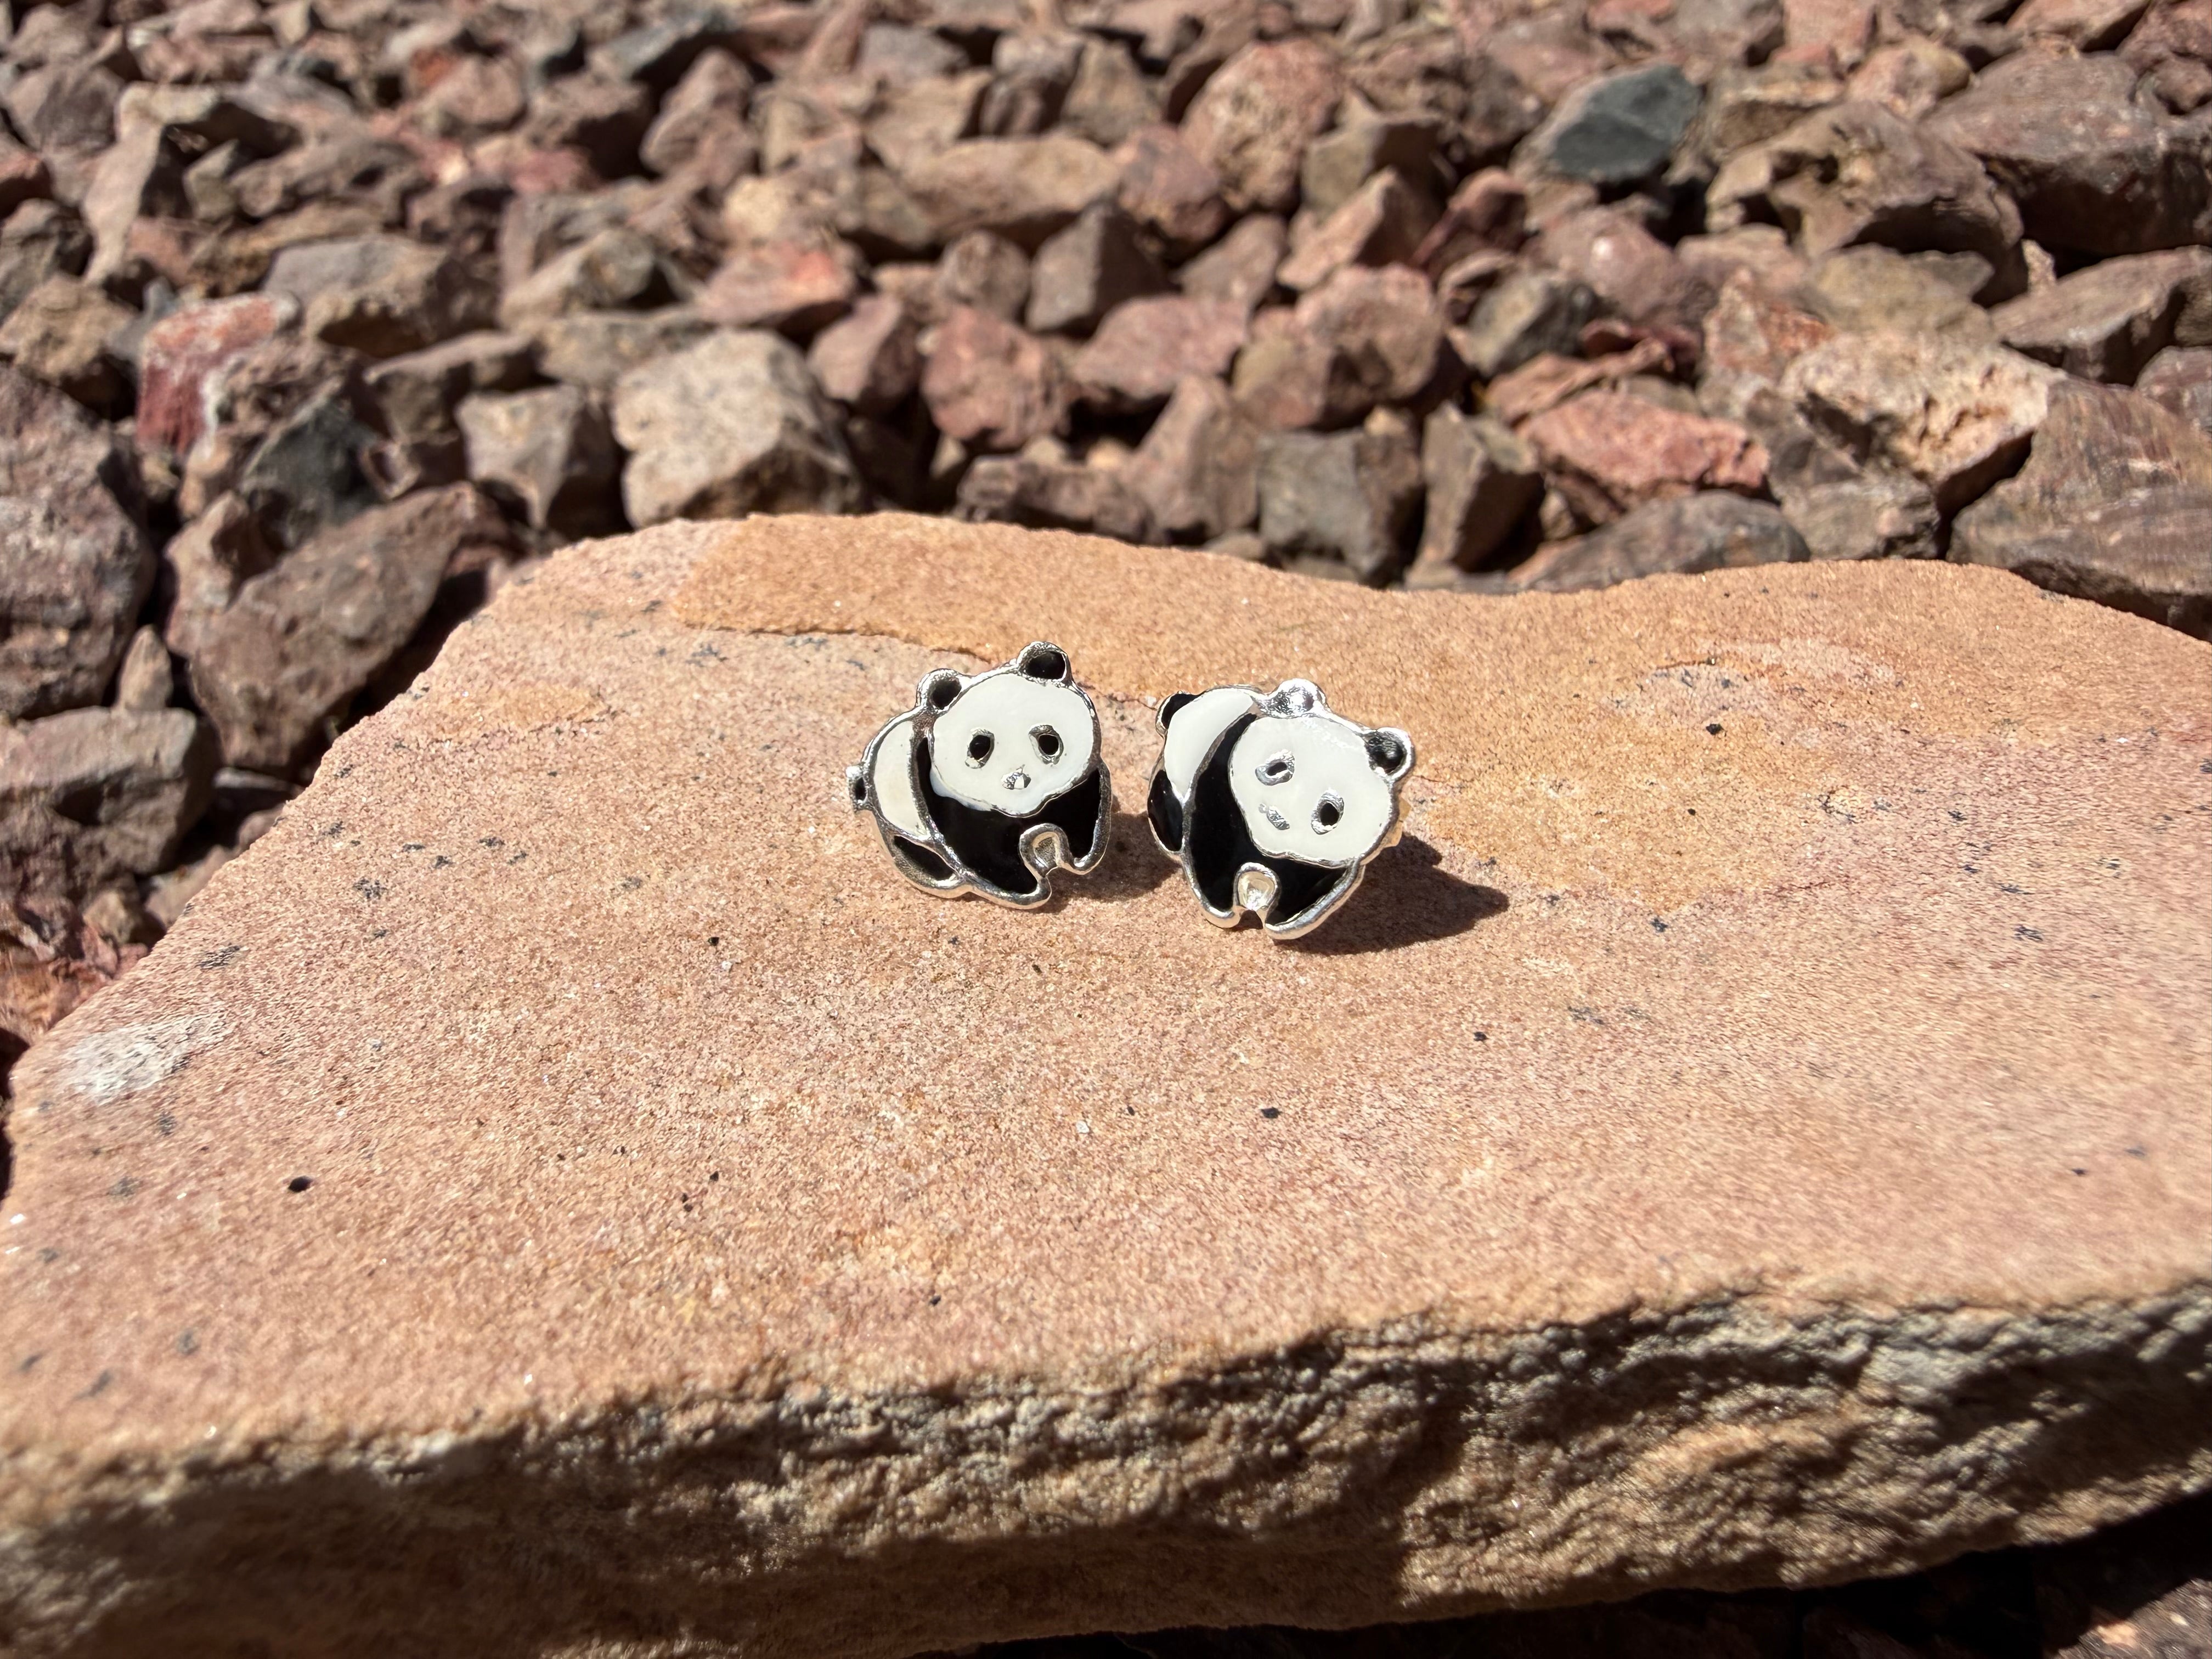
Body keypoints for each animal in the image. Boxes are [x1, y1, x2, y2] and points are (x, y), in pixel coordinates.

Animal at [848, 641, 1110, 907]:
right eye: (979, 747)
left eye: (1049, 742)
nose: (1018, 781)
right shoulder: (941, 805)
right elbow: (983, 856)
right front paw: (1032, 885)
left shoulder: (1083, 785)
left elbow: (1083, 815)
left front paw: (1070, 856)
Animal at [1147, 678, 1413, 939]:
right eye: (1277, 769)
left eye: (1329, 813)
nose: (1280, 818)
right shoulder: (1212, 795)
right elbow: (1206, 860)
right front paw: (1226, 910)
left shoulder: (1332, 869)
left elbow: (1307, 897)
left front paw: (1271, 920)